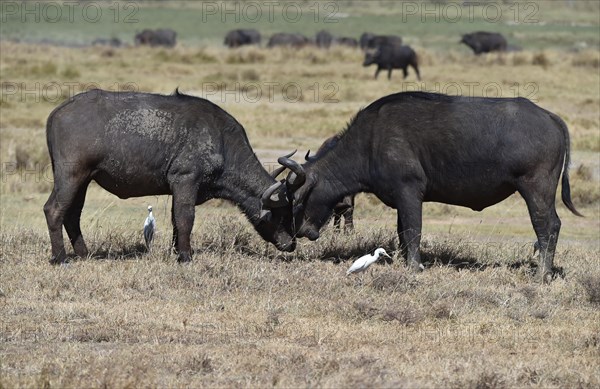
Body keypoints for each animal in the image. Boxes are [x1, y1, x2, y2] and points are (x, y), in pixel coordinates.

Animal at [43, 88, 296, 264]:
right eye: (282, 214)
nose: (291, 244)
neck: (223, 142)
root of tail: (58, 111)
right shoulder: (185, 180)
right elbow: (186, 218)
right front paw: (186, 256)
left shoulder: (179, 189)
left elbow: (176, 219)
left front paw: (178, 250)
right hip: (71, 176)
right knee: (54, 210)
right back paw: (60, 258)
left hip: (83, 181)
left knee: (72, 215)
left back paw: (84, 254)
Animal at [280, 92, 580, 284]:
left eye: (295, 200)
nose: (299, 232)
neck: (371, 141)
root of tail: (550, 117)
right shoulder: (400, 200)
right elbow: (402, 233)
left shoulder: (409, 193)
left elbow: (414, 231)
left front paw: (414, 268)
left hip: (536, 189)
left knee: (547, 226)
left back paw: (542, 275)